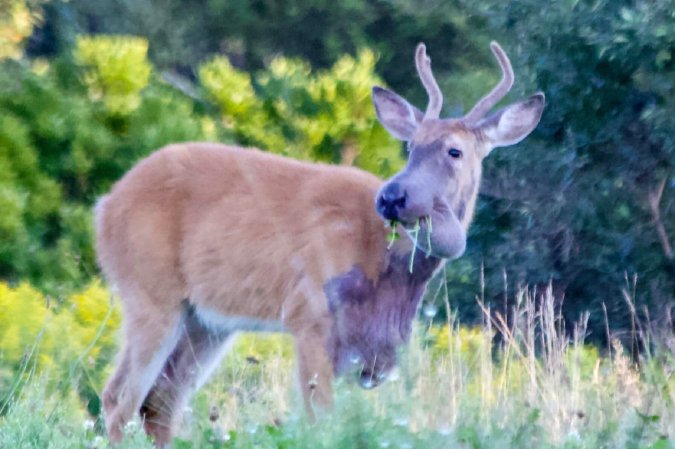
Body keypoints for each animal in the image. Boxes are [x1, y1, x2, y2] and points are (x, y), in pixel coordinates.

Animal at [97, 41, 548, 444]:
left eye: (455, 151)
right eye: (410, 146)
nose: (392, 196)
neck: (386, 271)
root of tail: (105, 205)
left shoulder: (365, 354)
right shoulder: (309, 314)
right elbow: (323, 425)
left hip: (205, 322)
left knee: (159, 403)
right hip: (151, 293)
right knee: (119, 398)